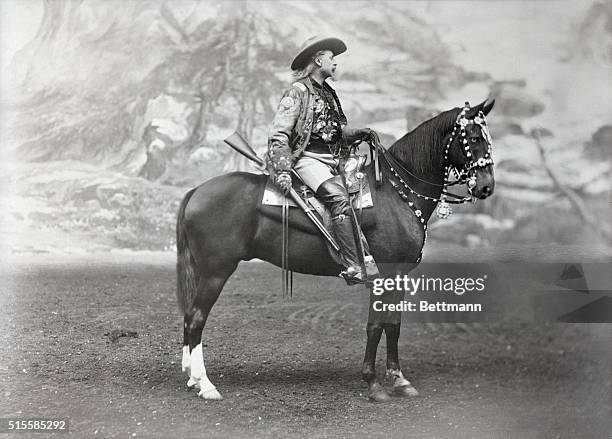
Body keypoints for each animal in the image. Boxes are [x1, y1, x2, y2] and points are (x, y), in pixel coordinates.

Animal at [175, 99, 494, 402]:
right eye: (474, 137)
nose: (487, 187)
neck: (396, 193)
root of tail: (196, 191)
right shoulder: (385, 276)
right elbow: (375, 326)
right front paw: (373, 383)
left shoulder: (399, 277)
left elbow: (393, 326)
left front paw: (399, 380)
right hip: (216, 272)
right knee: (196, 318)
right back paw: (205, 384)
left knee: (190, 316)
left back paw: (192, 377)